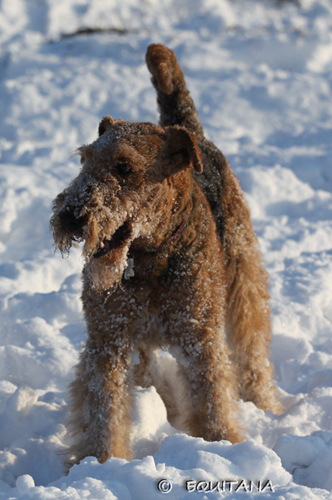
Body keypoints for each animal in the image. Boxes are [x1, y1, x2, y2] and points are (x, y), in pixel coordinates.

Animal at [50, 45, 282, 466]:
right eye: (83, 159)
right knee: (146, 369)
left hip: (242, 272)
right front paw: (102, 462)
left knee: (252, 344)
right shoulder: (107, 339)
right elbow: (104, 409)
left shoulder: (199, 336)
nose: (70, 215)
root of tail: (189, 130)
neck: (149, 257)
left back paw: (263, 402)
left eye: (124, 167)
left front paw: (220, 445)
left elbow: (212, 397)